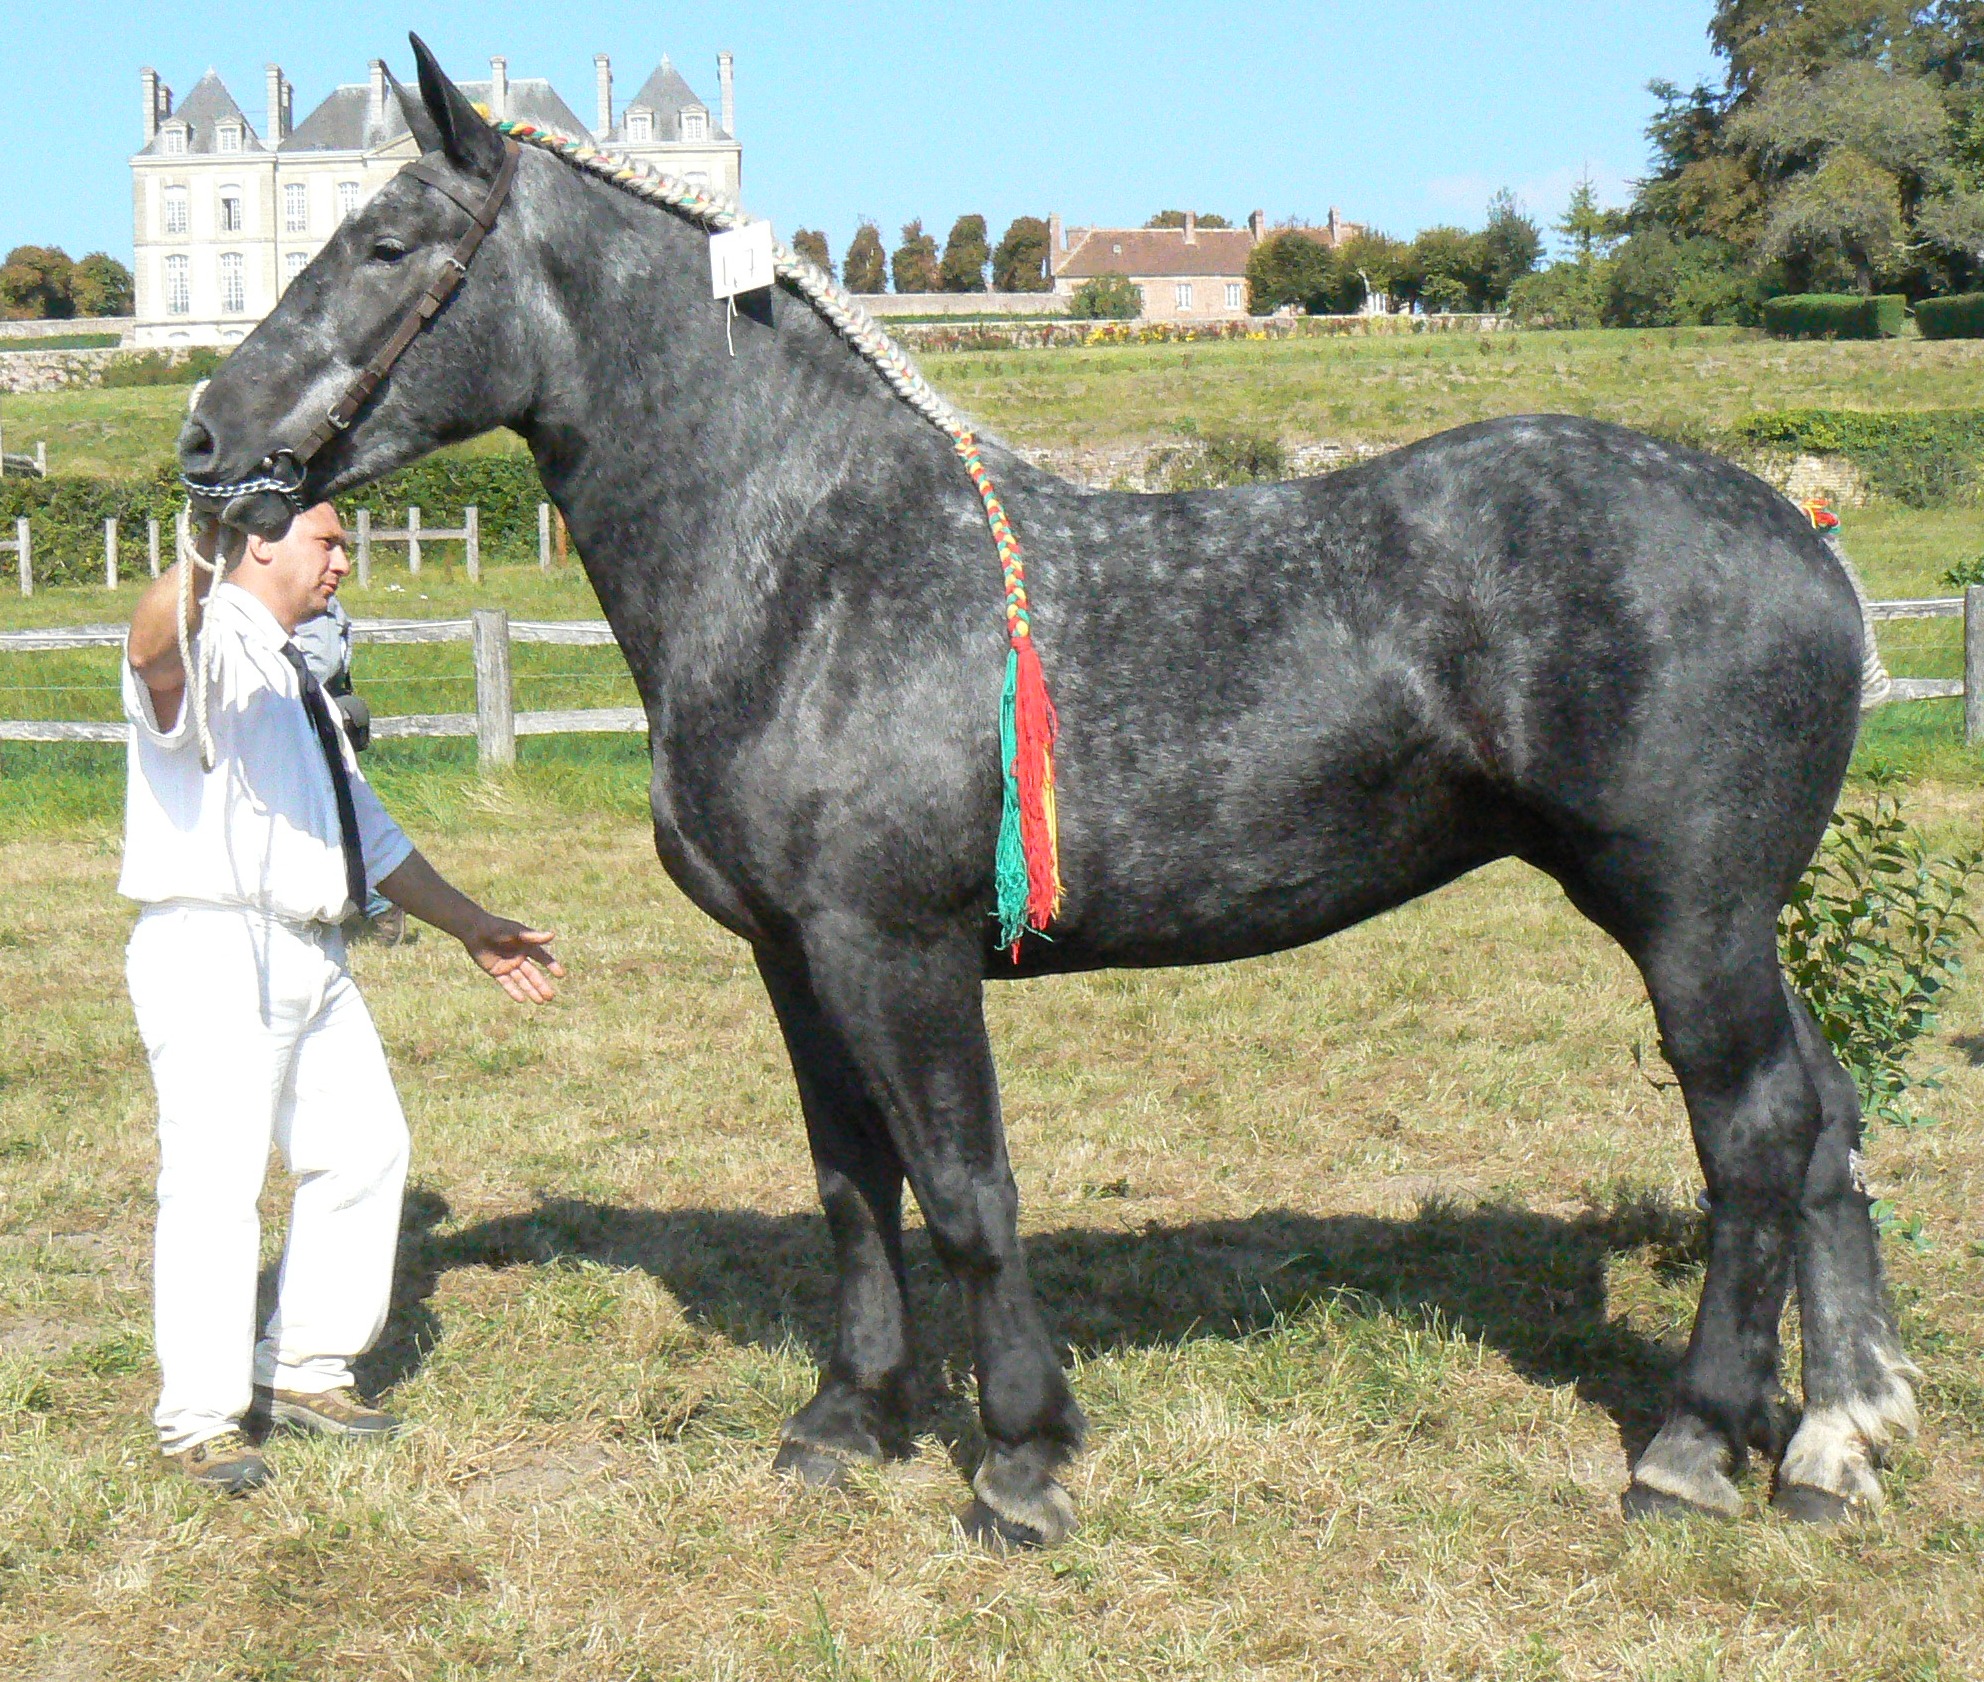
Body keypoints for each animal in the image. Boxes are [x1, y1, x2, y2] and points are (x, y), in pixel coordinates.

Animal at [178, 39, 1912, 1547]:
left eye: (390, 241)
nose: (208, 445)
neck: (810, 562)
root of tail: (1805, 536)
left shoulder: (897, 949)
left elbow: (964, 1187)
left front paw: (1019, 1459)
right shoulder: (798, 958)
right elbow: (851, 1184)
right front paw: (849, 1419)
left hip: (1686, 915)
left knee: (1756, 1133)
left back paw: (1692, 1447)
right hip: (1718, 918)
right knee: (1824, 1122)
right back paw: (1836, 1439)